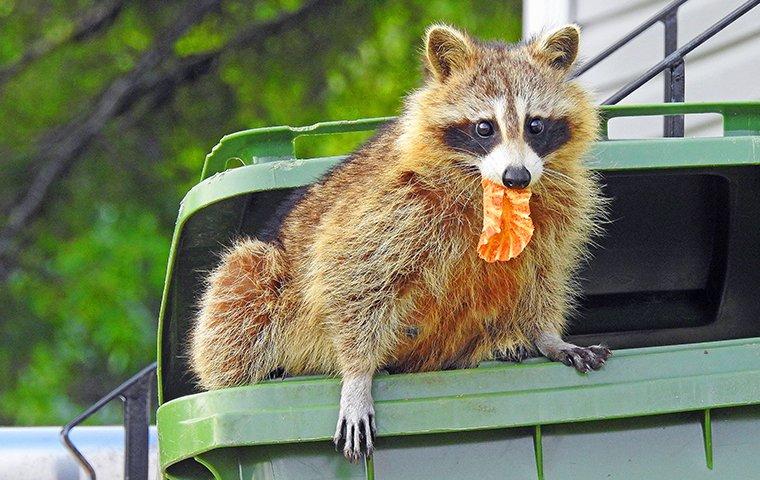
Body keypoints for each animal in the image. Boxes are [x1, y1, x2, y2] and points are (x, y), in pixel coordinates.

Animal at [191, 23, 612, 462]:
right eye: (485, 127)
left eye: (535, 125)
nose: (517, 177)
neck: (492, 191)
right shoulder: (393, 202)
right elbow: (347, 272)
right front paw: (356, 375)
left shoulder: (556, 211)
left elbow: (543, 273)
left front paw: (547, 335)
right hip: (263, 276)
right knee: (241, 287)